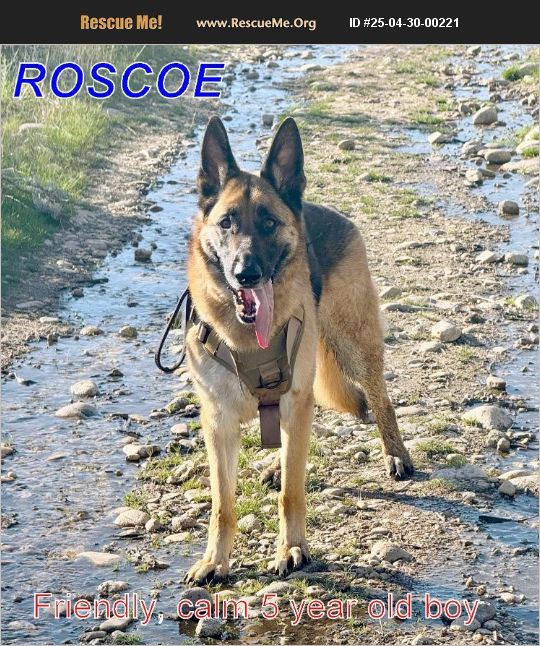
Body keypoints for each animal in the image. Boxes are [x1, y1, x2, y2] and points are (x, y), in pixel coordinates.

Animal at [184, 116, 413, 585]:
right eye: (227, 222)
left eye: (269, 223)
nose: (246, 274)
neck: (244, 337)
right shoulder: (218, 421)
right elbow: (222, 503)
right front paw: (216, 559)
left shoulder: (293, 396)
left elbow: (293, 492)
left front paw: (291, 548)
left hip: (353, 345)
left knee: (379, 398)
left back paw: (395, 455)